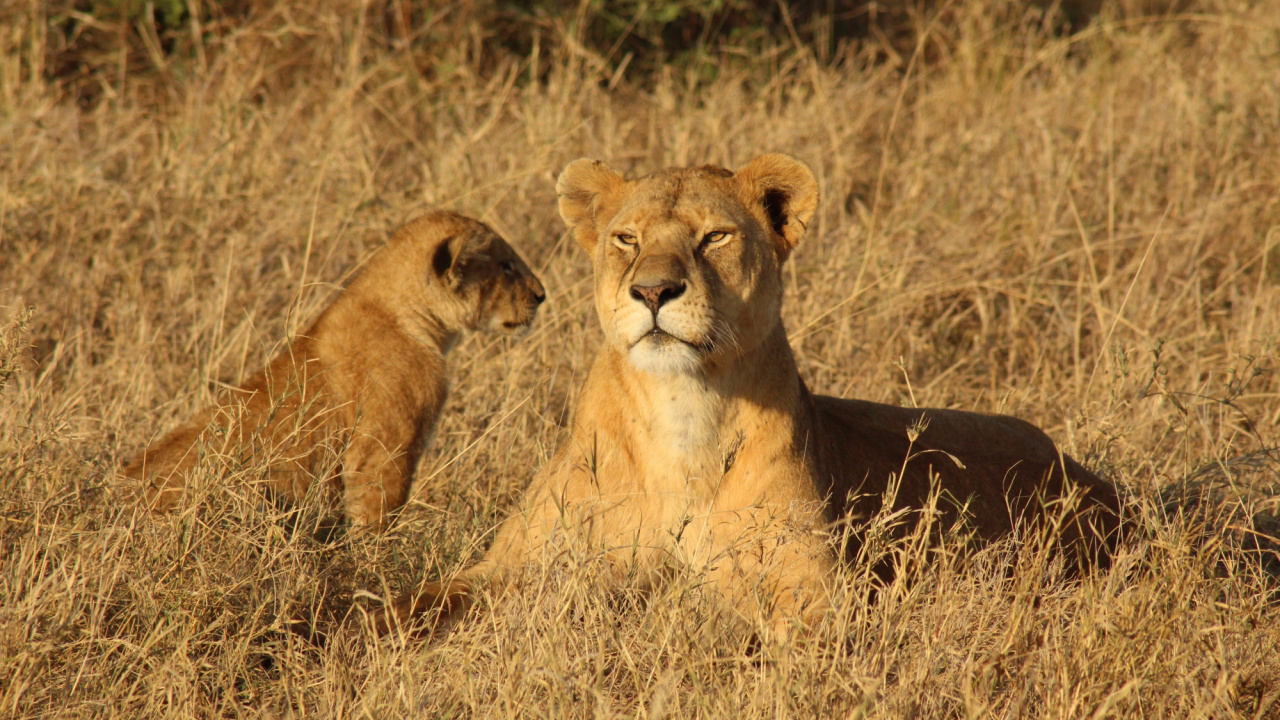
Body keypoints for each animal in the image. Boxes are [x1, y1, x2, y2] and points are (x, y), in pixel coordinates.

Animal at [371, 156, 1122, 639]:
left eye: (714, 236)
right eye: (626, 238)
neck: (681, 407)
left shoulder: (818, 592)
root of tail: (1090, 476)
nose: (652, 290)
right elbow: (401, 603)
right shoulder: (514, 568)